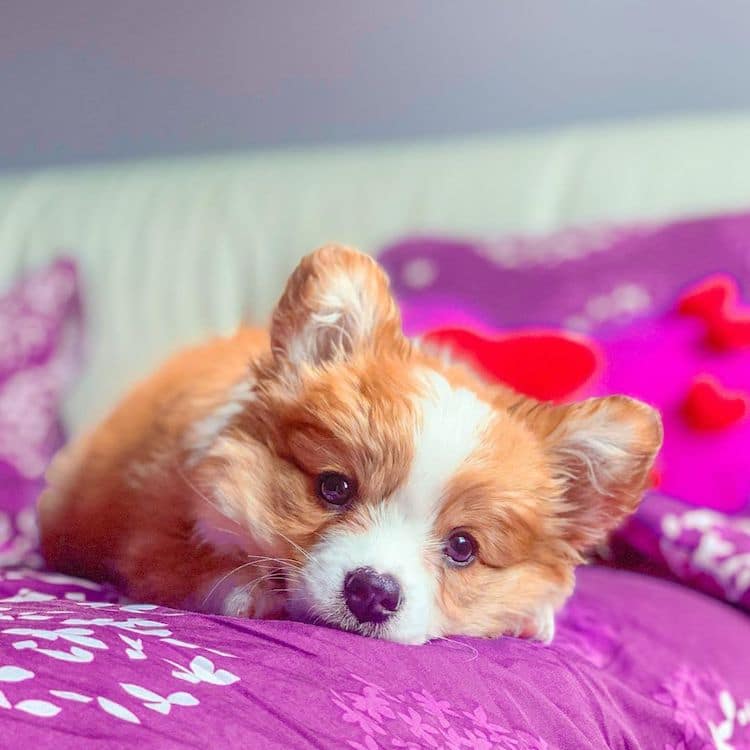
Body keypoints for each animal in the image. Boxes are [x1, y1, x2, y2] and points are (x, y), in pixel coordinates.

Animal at [39, 245, 664, 648]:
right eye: (334, 487)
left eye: (463, 546)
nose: (372, 593)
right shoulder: (153, 530)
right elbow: (194, 566)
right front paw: (248, 590)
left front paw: (530, 618)